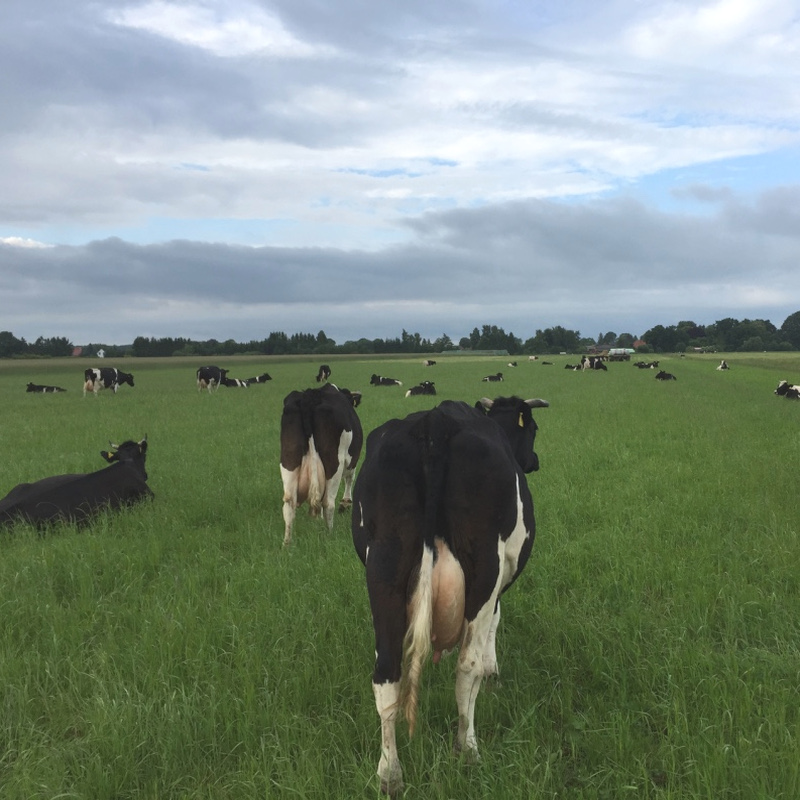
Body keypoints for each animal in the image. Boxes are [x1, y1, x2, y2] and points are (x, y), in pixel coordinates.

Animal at [276, 380, 360, 544]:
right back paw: (330, 535)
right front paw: (346, 503)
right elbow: (350, 478)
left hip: (289, 458)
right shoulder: (351, 459)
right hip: (334, 462)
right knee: (328, 502)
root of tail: (309, 396)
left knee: (289, 502)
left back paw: (287, 543)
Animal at [354, 396, 552, 796]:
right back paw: (468, 750)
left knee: (387, 674)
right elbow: (494, 623)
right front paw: (493, 671)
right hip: (483, 568)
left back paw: (389, 774)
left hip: (383, 569)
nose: (535, 461)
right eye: (534, 428)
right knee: (466, 667)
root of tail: (436, 422)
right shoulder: (498, 580)